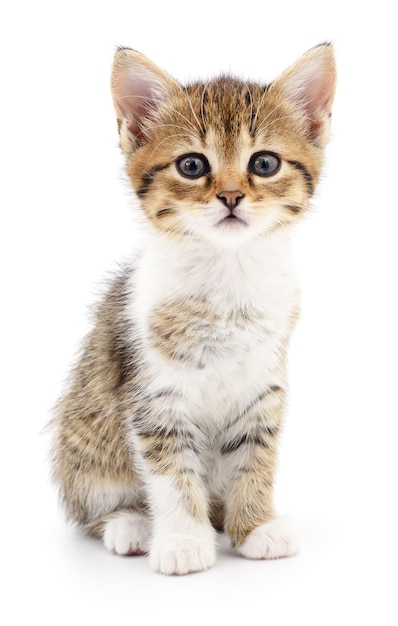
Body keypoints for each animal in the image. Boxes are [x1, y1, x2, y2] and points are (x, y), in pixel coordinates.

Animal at [49, 42, 336, 572]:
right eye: (192, 166)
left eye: (265, 164)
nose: (231, 196)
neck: (228, 276)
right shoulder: (154, 395)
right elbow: (171, 471)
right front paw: (183, 540)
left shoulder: (262, 387)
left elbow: (256, 457)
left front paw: (256, 526)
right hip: (83, 439)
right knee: (92, 503)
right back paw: (130, 525)